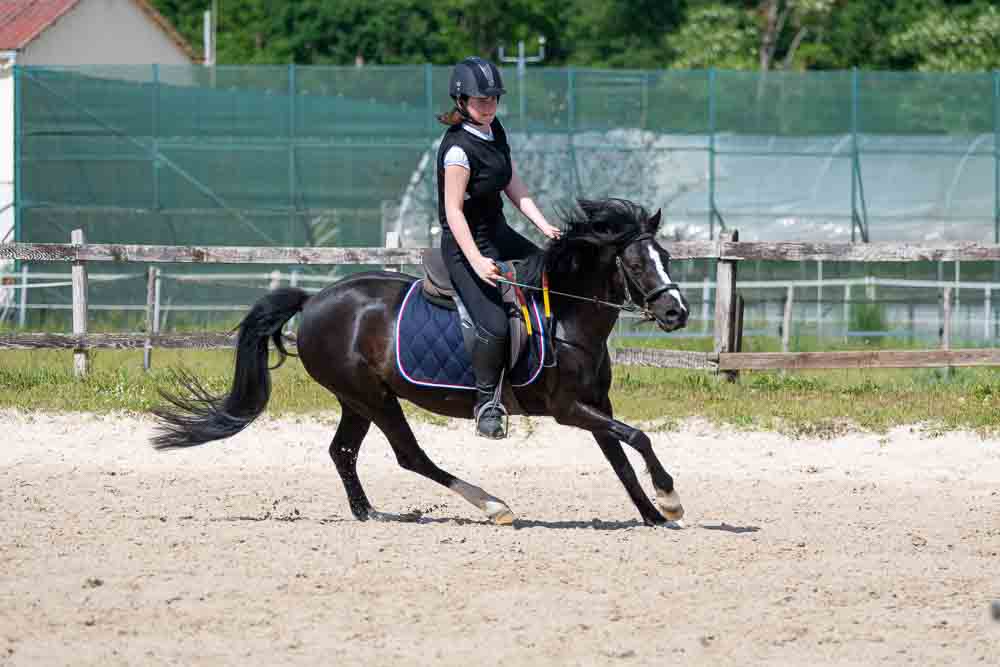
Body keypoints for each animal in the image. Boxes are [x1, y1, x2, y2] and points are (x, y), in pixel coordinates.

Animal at [152, 198, 692, 528]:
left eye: (666, 257)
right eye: (638, 264)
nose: (677, 313)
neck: (566, 316)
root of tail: (315, 300)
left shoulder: (596, 404)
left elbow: (620, 455)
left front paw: (652, 512)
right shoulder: (566, 408)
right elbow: (638, 438)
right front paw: (669, 497)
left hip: (356, 399)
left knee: (342, 451)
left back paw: (367, 512)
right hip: (373, 396)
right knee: (410, 456)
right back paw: (492, 505)